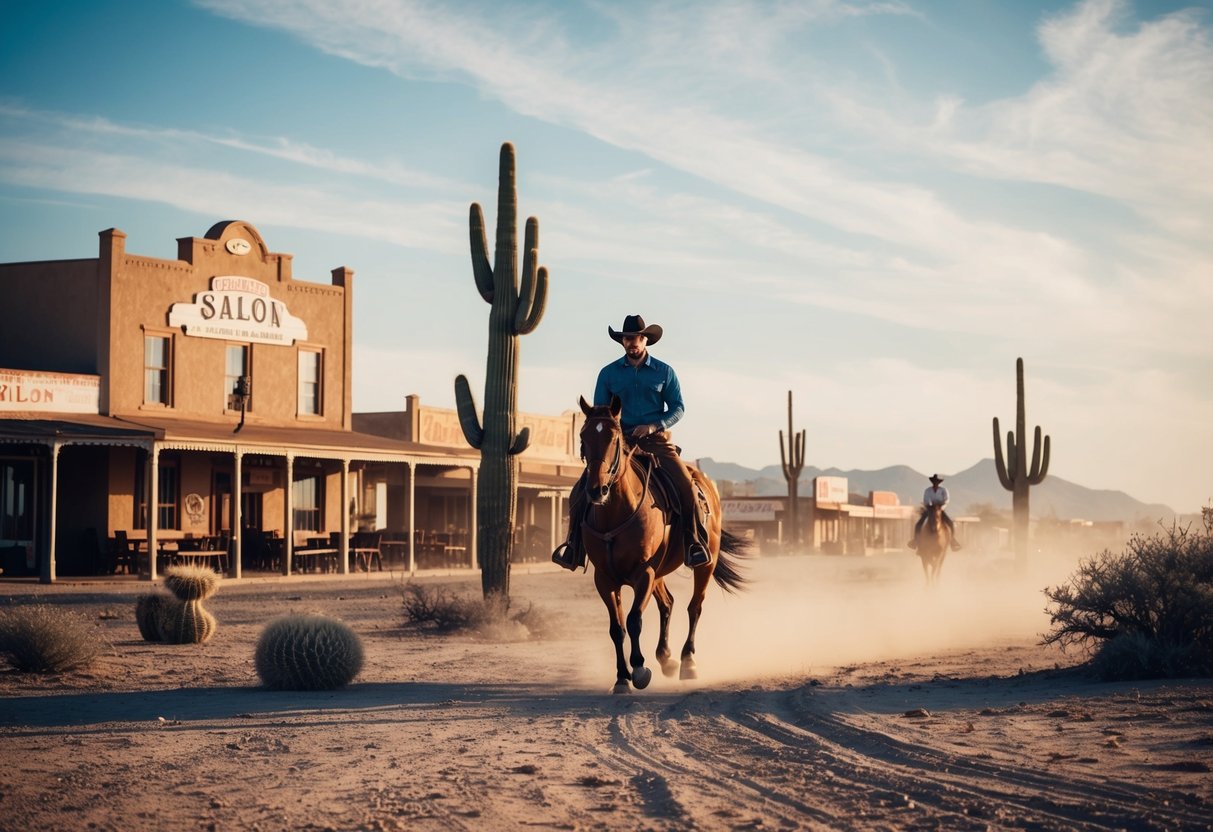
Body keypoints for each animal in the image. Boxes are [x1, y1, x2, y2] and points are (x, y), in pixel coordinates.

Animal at [574, 395, 742, 693]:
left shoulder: (644, 572)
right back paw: (666, 658)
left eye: (614, 437)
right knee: (668, 603)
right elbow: (616, 628)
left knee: (694, 607)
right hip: (660, 571)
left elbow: (634, 620)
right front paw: (621, 678)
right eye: (583, 436)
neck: (615, 513)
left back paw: (687, 662)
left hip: (703, 564)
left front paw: (639, 669)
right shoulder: (605, 579)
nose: (596, 490)